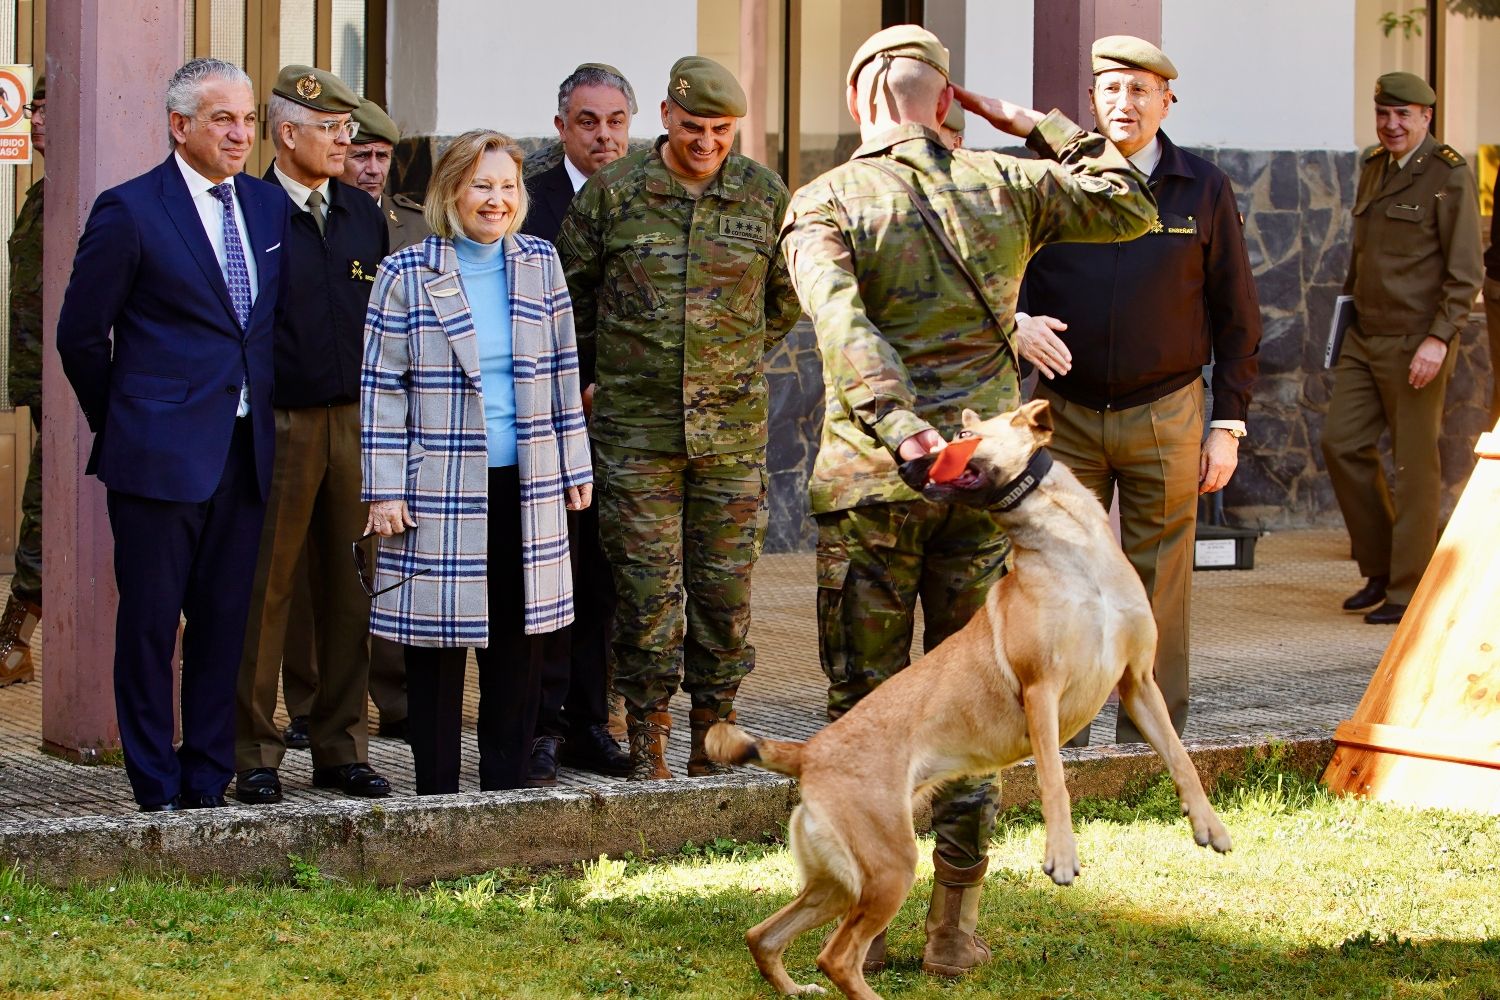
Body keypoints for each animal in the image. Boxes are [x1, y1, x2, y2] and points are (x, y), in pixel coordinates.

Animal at [708, 401, 1236, 1000]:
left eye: (963, 434)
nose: (906, 465)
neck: (1071, 555)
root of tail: (808, 752)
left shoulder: (1139, 684)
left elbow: (1180, 758)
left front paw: (1209, 826)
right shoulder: (1041, 690)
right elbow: (1055, 781)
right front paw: (1061, 856)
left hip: (840, 883)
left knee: (765, 936)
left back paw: (795, 989)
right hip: (889, 867)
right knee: (836, 955)